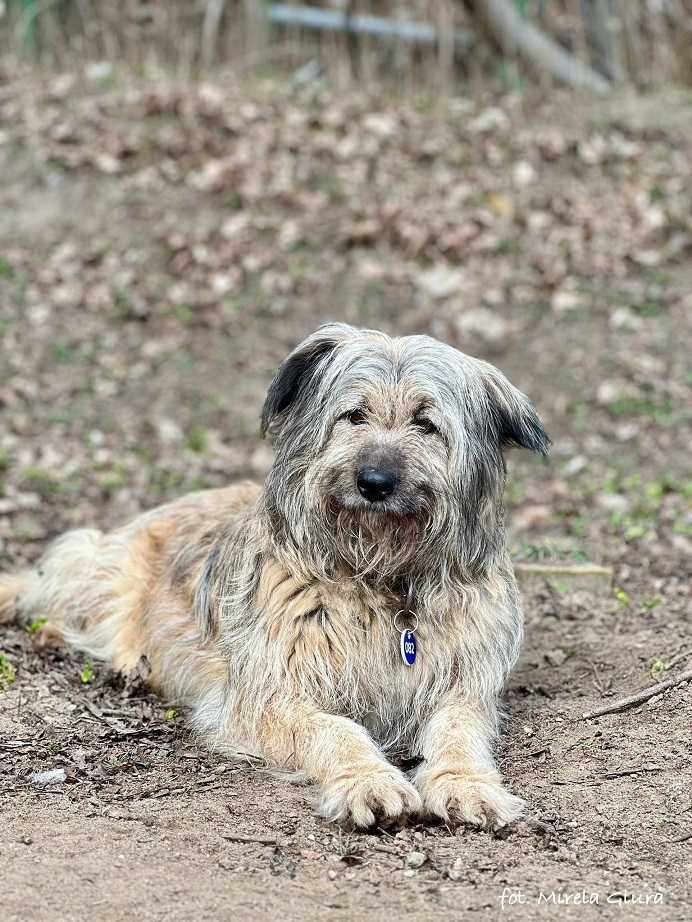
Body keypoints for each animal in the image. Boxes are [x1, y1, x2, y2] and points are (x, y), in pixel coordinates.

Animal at [1, 322, 552, 828]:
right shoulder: (273, 694)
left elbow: (460, 734)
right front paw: (367, 781)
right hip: (101, 576)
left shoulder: (464, 688)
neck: (382, 579)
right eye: (354, 415)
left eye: (426, 424)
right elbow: (335, 730)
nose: (374, 482)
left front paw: (466, 784)